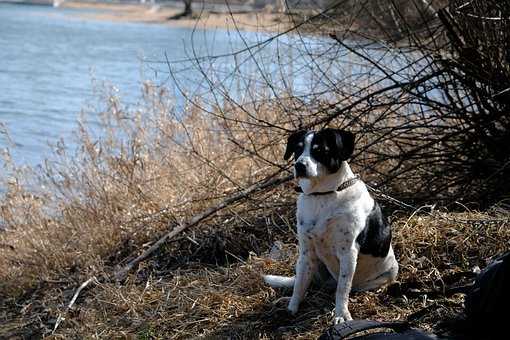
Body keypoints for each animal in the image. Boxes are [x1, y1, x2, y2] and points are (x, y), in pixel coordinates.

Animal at [264, 128, 400, 324]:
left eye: (320, 150)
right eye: (298, 149)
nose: (299, 166)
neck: (322, 195)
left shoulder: (348, 253)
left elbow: (342, 289)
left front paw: (341, 314)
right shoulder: (306, 252)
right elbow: (300, 285)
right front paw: (292, 308)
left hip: (388, 272)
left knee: (348, 287)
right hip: (313, 264)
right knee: (308, 283)